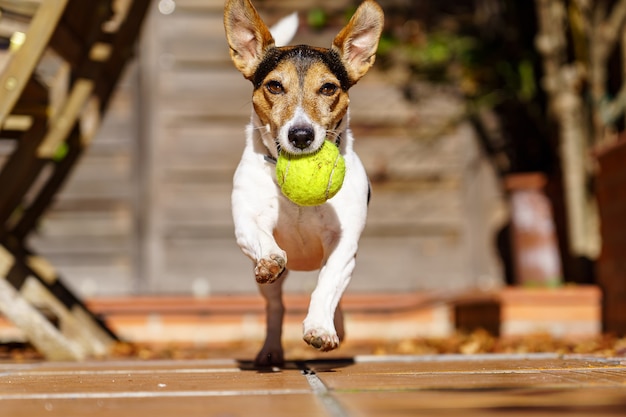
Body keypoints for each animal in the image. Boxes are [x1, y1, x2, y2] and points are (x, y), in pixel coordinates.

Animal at [222, 0, 382, 364]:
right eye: (274, 86)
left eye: (328, 88)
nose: (300, 135)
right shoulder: (247, 222)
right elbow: (262, 239)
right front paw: (270, 258)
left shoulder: (344, 245)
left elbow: (327, 284)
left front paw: (321, 328)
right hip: (268, 289)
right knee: (276, 306)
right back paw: (270, 350)